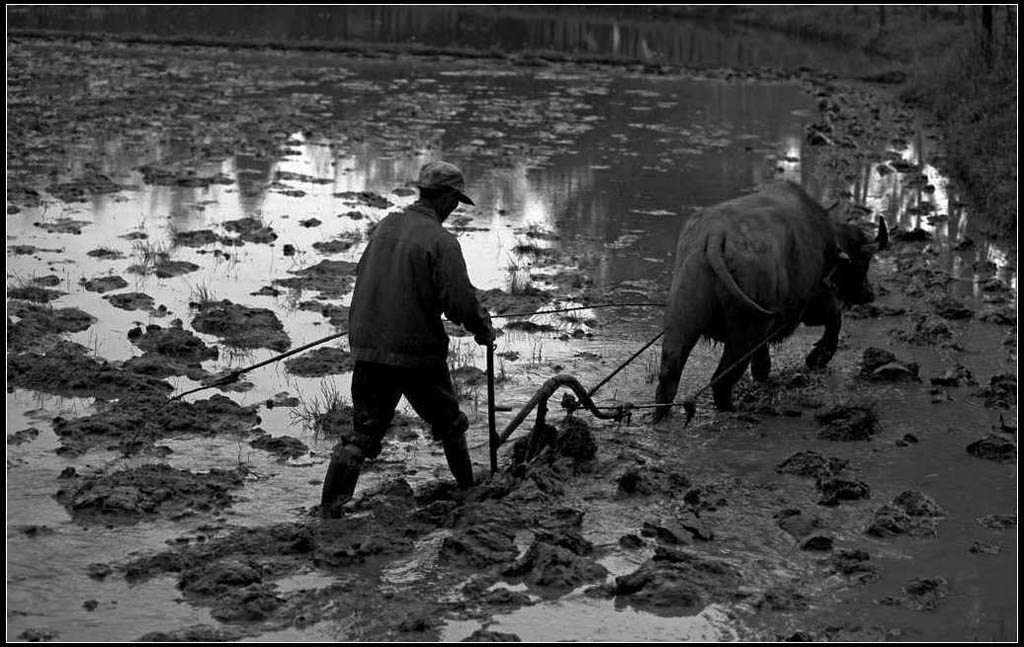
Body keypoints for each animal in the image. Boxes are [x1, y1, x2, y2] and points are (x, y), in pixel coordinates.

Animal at [655, 182, 888, 421]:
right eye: (864, 261)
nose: (869, 293)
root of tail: (714, 236)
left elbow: (762, 361)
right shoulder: (813, 303)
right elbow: (835, 319)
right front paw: (817, 358)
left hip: (683, 318)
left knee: (669, 375)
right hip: (745, 332)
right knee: (722, 380)